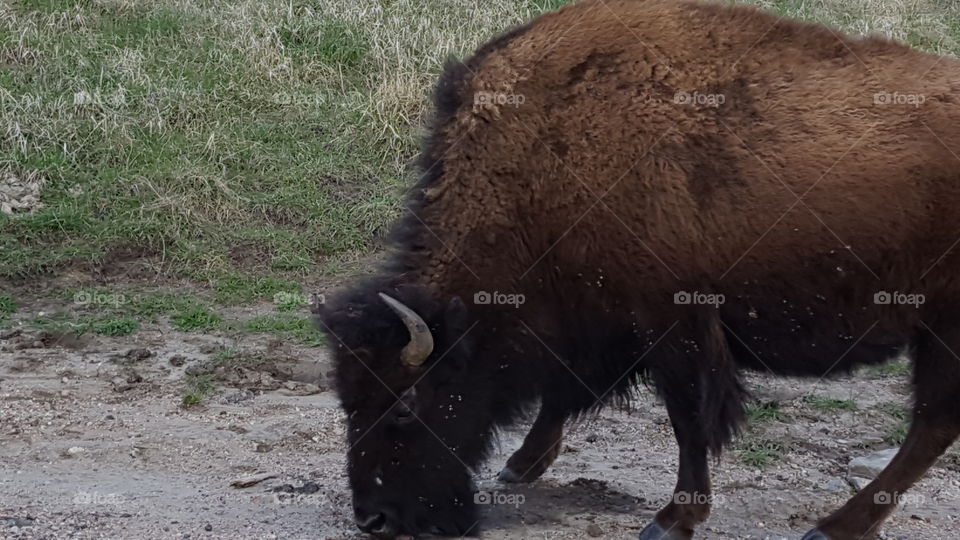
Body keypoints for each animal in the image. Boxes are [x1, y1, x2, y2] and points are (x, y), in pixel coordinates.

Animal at [317, 0, 960, 538]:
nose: (375, 519)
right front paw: (520, 467)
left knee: (931, 424)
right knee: (933, 426)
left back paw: (832, 527)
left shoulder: (675, 329)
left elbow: (688, 420)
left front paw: (673, 520)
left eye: (405, 406)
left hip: (941, 332)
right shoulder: (599, 321)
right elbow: (566, 392)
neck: (542, 161)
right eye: (346, 401)